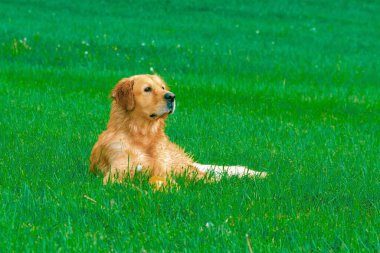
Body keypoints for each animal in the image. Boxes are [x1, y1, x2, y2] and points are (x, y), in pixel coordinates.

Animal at [90, 74, 268, 185]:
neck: (143, 136)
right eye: (147, 89)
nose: (171, 96)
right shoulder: (115, 174)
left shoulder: (164, 170)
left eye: (162, 87)